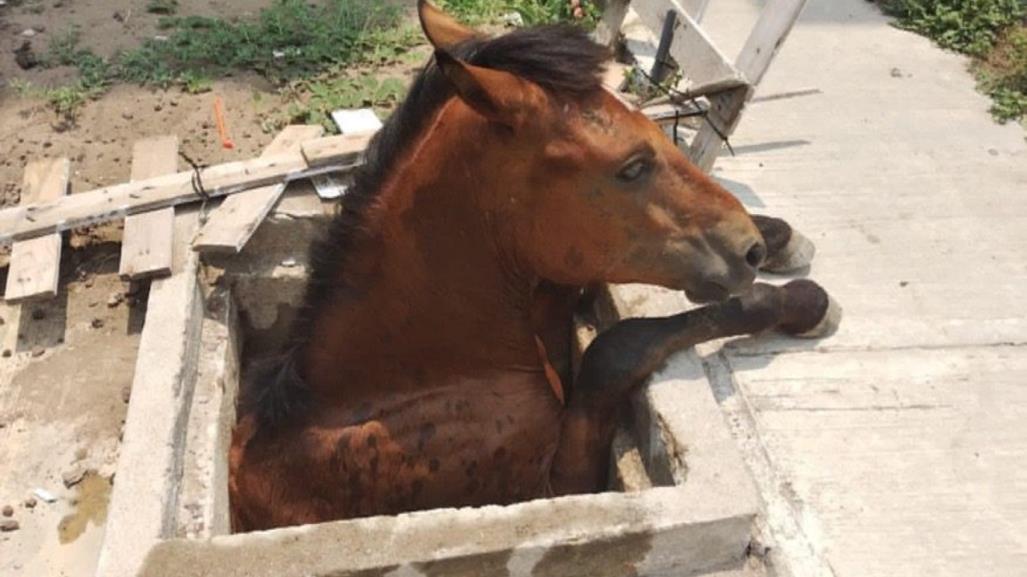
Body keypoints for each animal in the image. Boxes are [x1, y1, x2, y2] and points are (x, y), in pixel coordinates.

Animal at [229, 1, 838, 529]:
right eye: (631, 167)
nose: (747, 251)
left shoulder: (554, 270)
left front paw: (782, 239)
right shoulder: (555, 486)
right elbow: (616, 347)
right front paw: (801, 300)